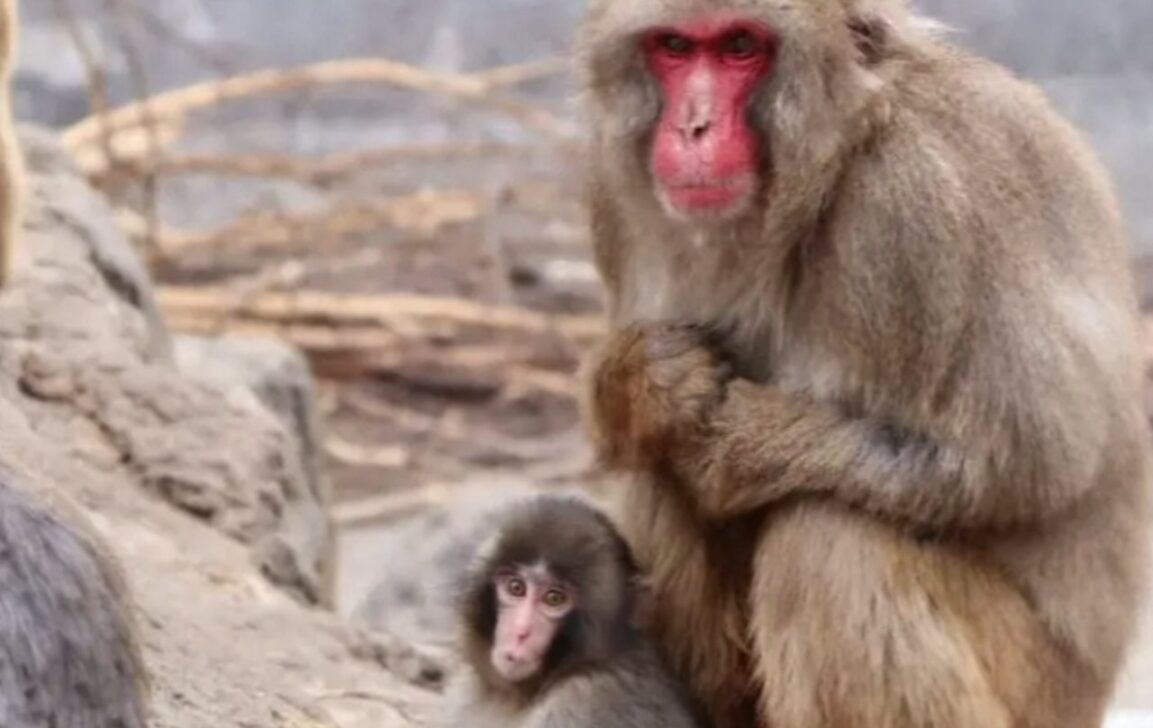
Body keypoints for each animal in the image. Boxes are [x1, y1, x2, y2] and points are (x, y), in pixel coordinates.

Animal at [575, 0, 1152, 726]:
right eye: (675, 47)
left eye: (739, 46)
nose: (693, 126)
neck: (834, 161)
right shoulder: (611, 195)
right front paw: (645, 382)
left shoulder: (911, 200)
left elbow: (1024, 463)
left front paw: (736, 448)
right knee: (658, 472)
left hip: (1039, 688)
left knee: (832, 538)